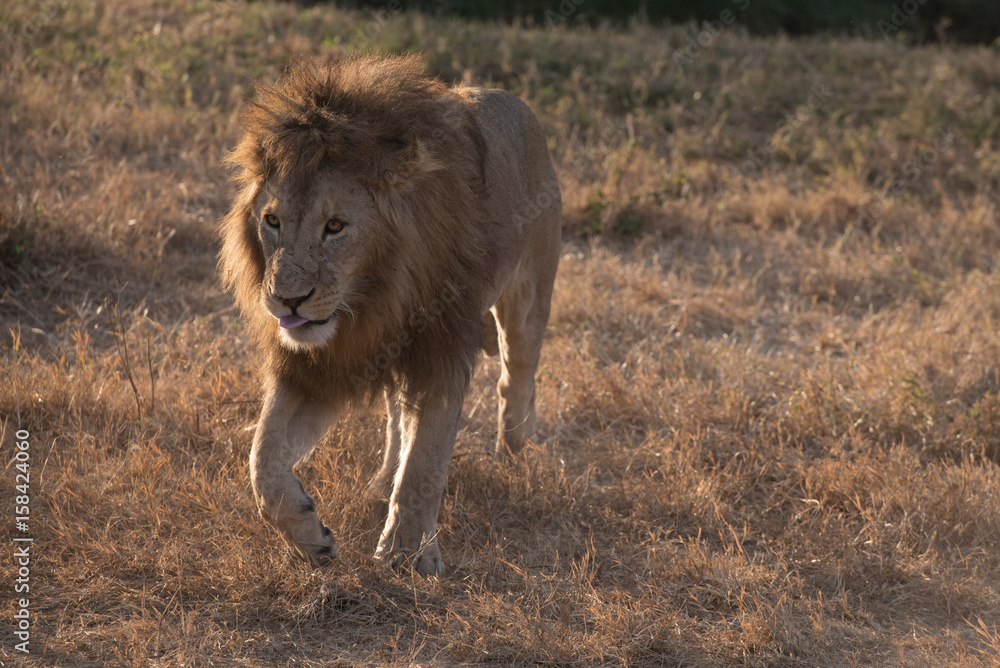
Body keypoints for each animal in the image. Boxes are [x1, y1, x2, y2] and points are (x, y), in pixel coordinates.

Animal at [218, 54, 561, 575]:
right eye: (272, 221)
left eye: (335, 226)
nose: (287, 301)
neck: (372, 301)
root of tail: (520, 104)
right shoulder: (313, 367)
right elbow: (263, 458)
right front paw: (310, 538)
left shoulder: (441, 348)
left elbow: (425, 463)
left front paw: (405, 556)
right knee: (398, 414)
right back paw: (381, 484)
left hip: (529, 291)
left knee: (516, 376)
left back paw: (516, 452)